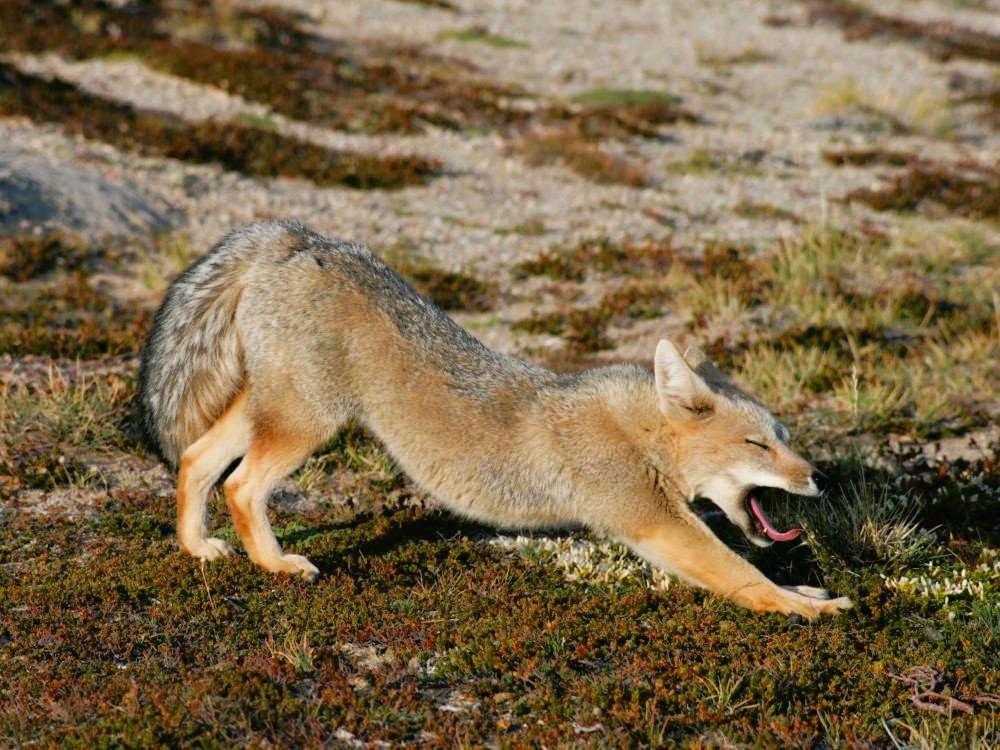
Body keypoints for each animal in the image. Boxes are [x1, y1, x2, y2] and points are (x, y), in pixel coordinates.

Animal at [138, 221, 852, 620]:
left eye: (786, 440)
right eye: (758, 445)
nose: (820, 479)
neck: (636, 433)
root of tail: (304, 239)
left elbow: (744, 562)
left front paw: (805, 592)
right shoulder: (653, 524)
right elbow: (740, 572)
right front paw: (803, 608)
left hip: (270, 411)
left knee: (197, 460)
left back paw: (198, 547)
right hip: (306, 424)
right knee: (240, 485)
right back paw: (276, 565)